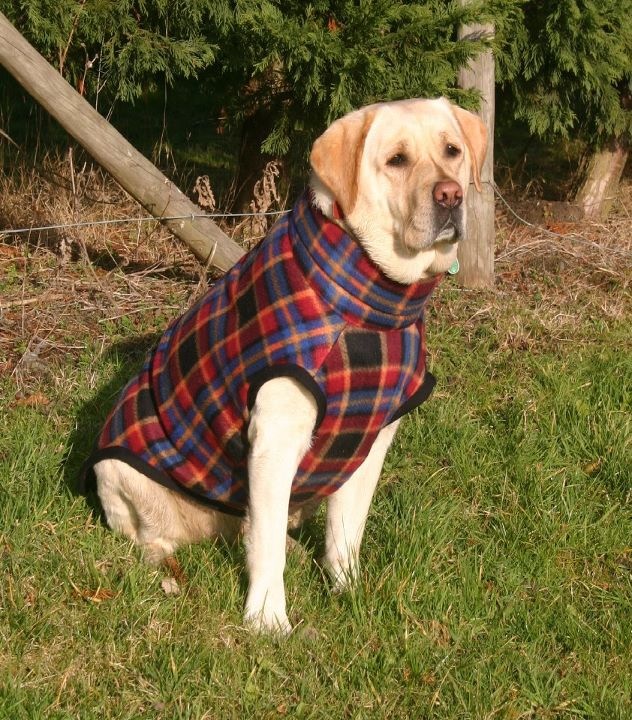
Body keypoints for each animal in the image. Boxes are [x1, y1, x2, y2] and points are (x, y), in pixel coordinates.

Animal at [84, 98, 486, 632]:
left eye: (452, 151)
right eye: (396, 160)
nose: (450, 195)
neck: (368, 304)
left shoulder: (371, 439)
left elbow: (346, 531)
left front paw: (346, 591)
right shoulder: (275, 436)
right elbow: (268, 545)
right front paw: (267, 620)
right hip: (118, 471)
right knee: (164, 536)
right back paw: (165, 566)